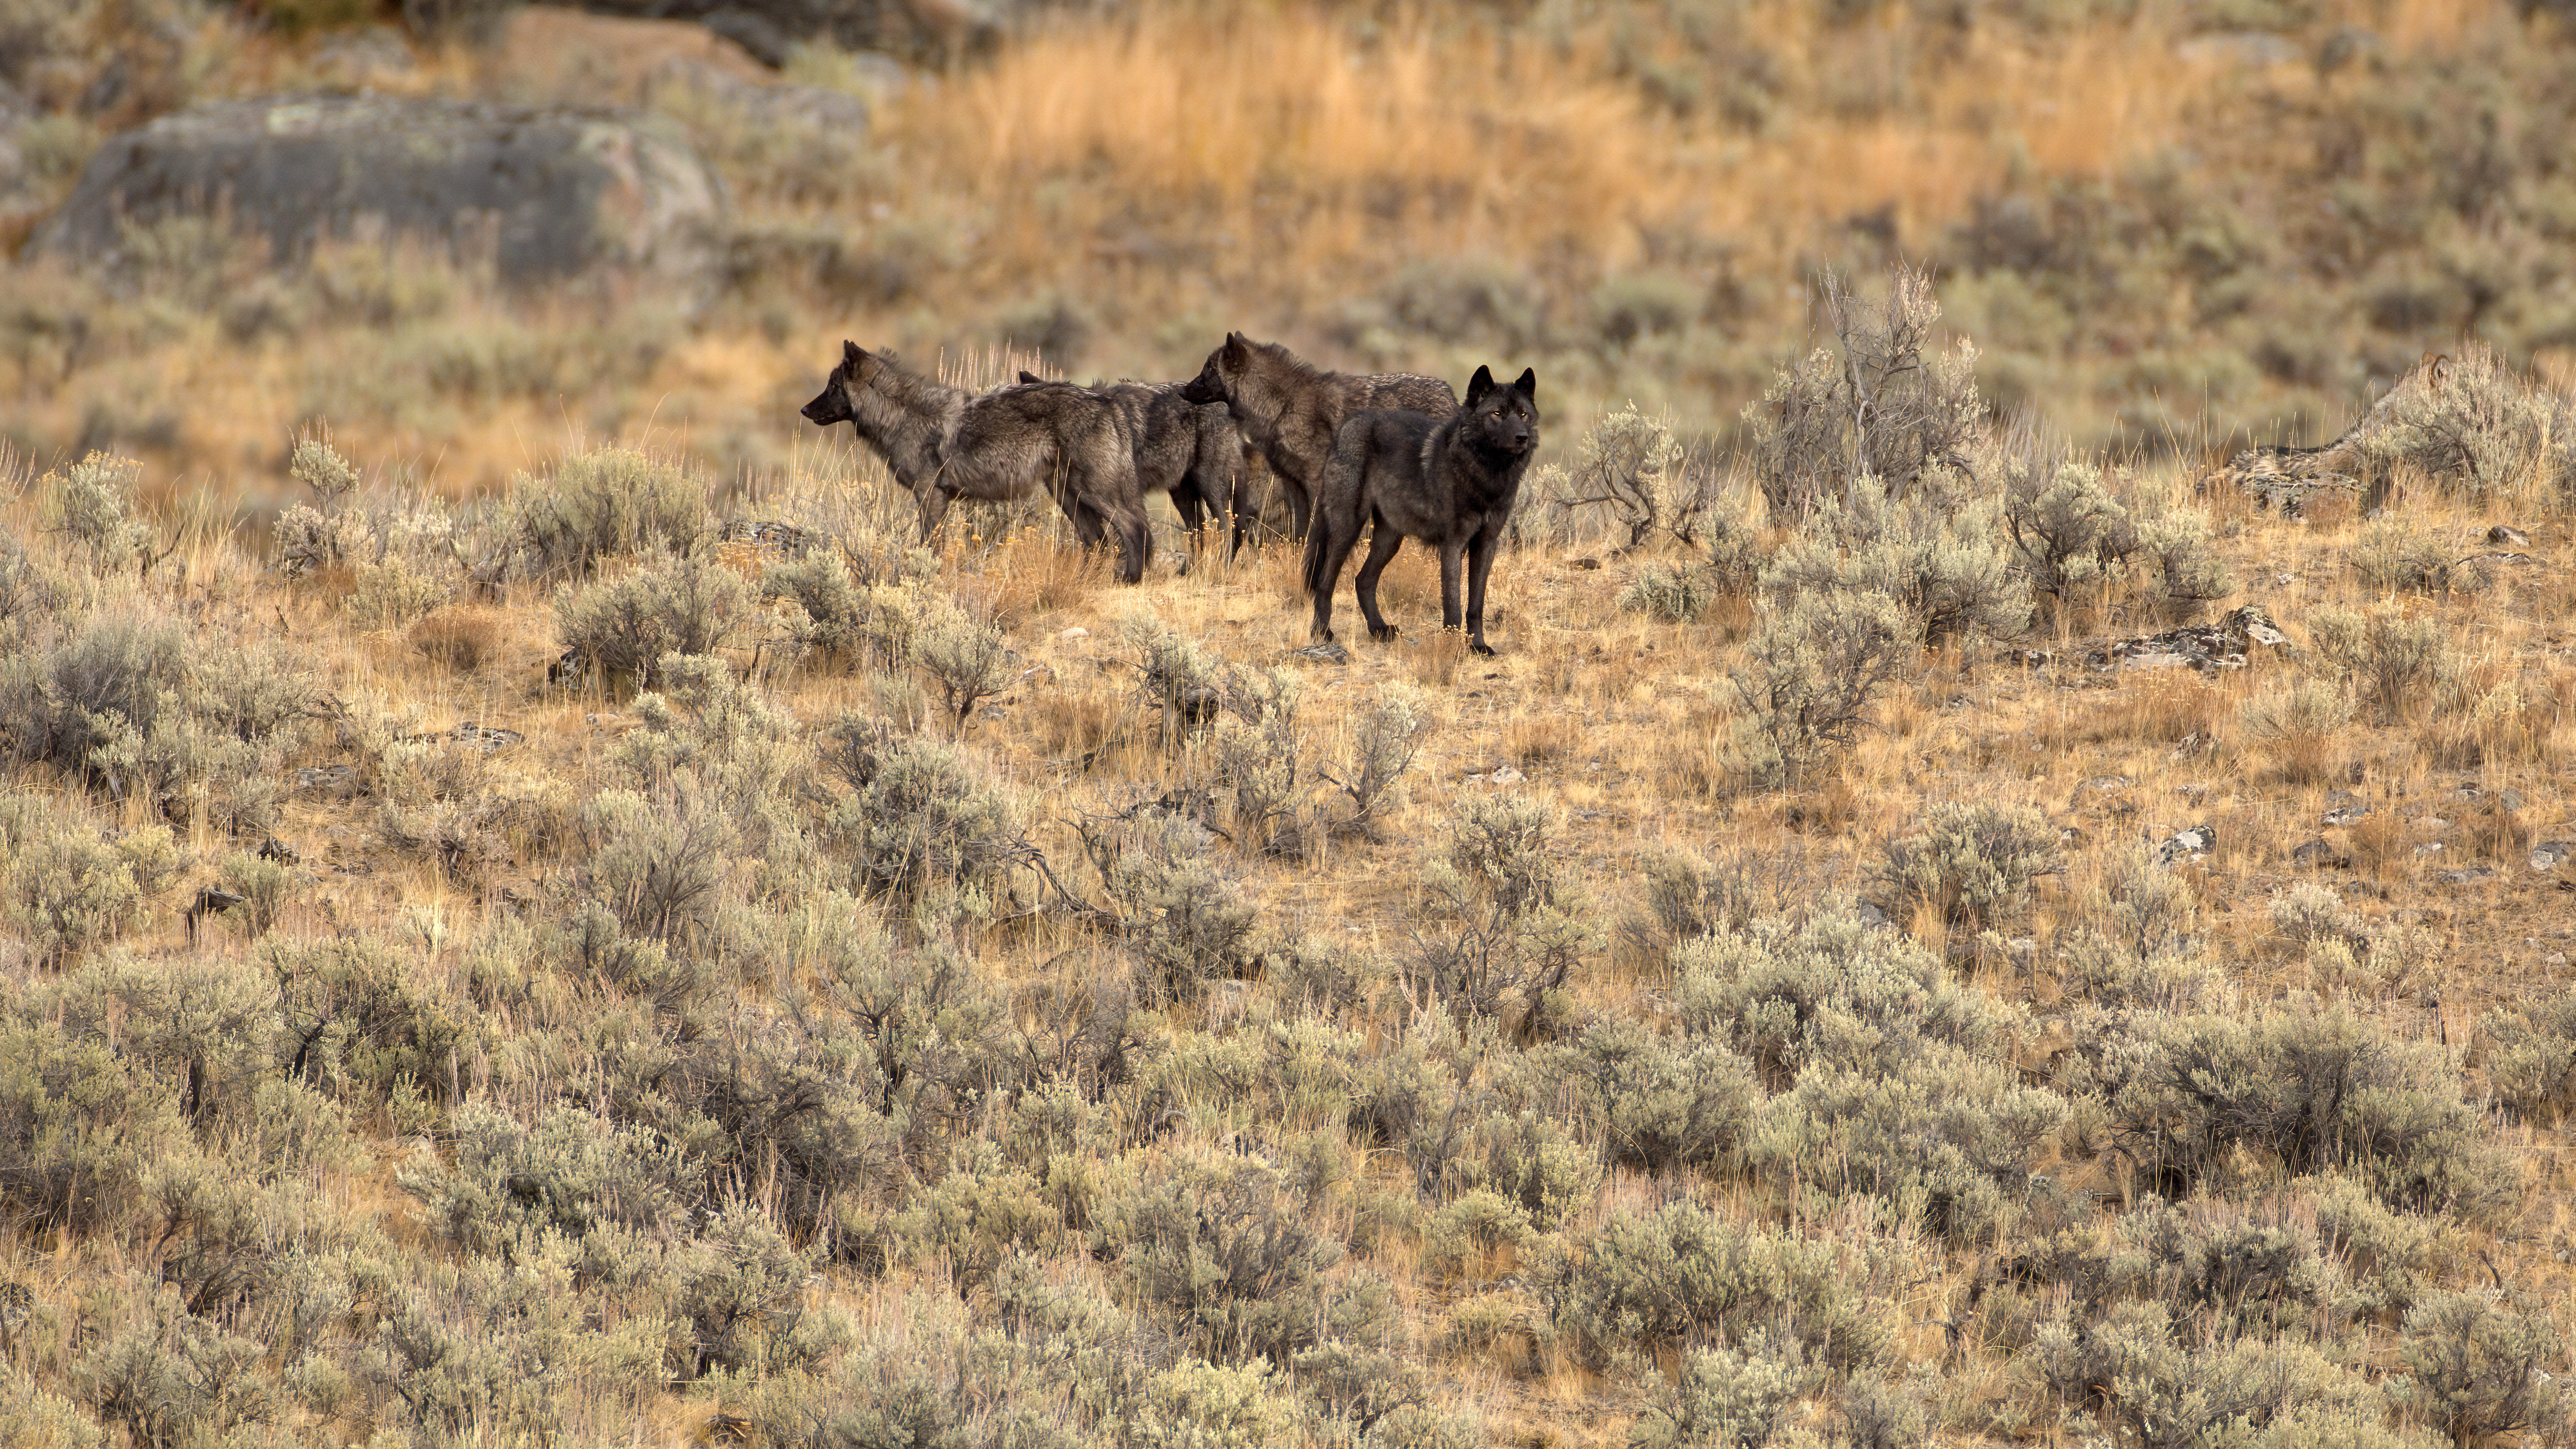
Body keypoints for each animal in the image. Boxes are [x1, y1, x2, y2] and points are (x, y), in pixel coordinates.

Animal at [798, 340, 1154, 580]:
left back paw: (1131, 580)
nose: (803, 410)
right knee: (1098, 541)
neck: (903, 416)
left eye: (832, 387)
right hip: (1067, 495)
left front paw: (929, 575)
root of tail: (1106, 400)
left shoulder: (930, 495)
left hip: (1091, 491)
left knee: (1135, 528)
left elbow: (931, 545)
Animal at [1015, 366, 1246, 559]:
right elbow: (1093, 543)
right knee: (1198, 531)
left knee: (1227, 529)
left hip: (1209, 485)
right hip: (1182, 495)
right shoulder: (1069, 499)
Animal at [1180, 330, 1463, 539]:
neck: (1284, 407)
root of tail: (1451, 395)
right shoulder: (1293, 485)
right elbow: (1300, 533)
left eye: (1208, 370)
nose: (1182, 390)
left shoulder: (1317, 482)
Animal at [1298, 361, 1535, 654]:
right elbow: (1453, 606)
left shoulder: (1486, 544)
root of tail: (1347, 425)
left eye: (1523, 414)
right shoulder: (1453, 544)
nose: (1522, 437)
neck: (1484, 474)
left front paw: (1478, 647)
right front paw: (1451, 651)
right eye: (1498, 414)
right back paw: (1322, 633)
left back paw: (1380, 630)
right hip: (1348, 530)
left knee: (1363, 580)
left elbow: (1475, 606)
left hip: (1389, 540)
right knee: (1324, 582)